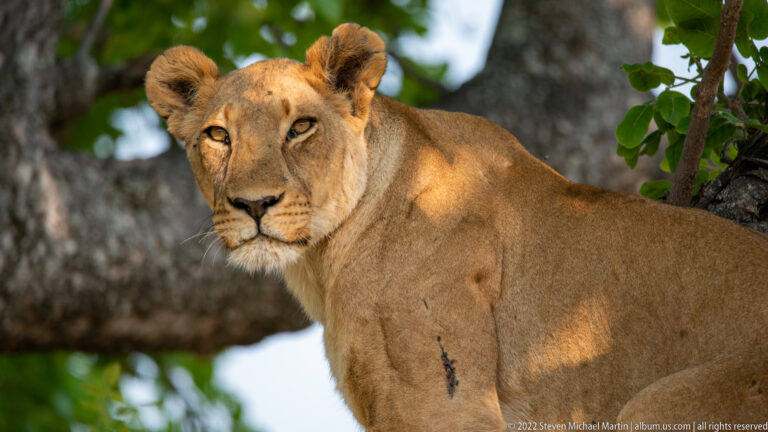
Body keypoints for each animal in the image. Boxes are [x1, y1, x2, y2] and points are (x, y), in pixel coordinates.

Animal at [146, 23, 768, 431]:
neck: (324, 261)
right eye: (218, 135)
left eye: (301, 127)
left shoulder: (446, 403)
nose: (253, 205)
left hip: (659, 405)